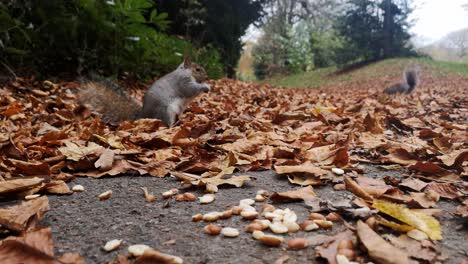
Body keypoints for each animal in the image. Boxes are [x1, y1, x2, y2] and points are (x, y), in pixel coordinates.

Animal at [78, 57, 210, 127]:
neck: (185, 71)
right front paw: (205, 86)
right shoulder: (183, 81)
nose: (207, 77)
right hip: (166, 111)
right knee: (166, 124)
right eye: (197, 69)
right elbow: (190, 89)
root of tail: (144, 116)